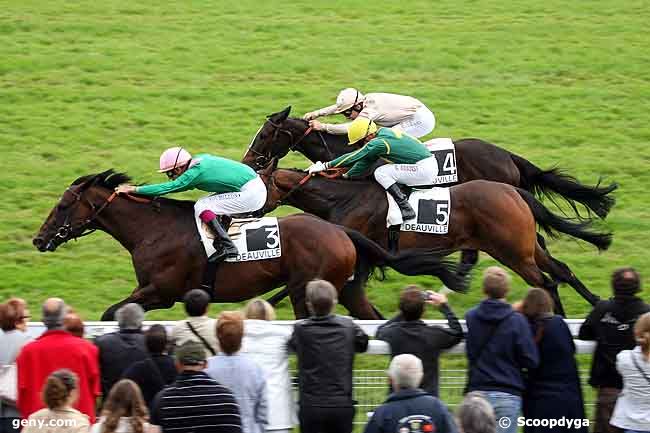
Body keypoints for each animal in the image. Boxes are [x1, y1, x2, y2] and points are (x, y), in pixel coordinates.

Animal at [33, 170, 458, 320]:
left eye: (64, 205)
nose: (39, 239)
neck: (154, 230)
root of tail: (341, 232)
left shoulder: (160, 292)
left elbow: (110, 315)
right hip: (346, 287)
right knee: (370, 318)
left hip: (308, 289)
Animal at [260, 164, 612, 316]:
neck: (344, 198)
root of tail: (513, 190)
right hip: (526, 247)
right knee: (560, 270)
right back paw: (593, 304)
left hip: (512, 252)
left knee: (546, 282)